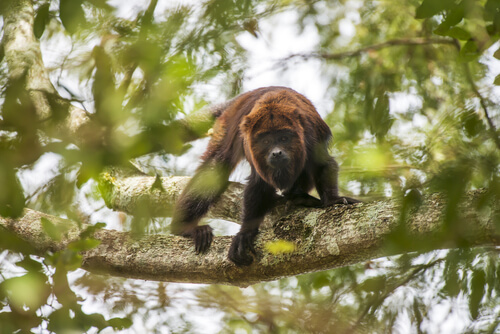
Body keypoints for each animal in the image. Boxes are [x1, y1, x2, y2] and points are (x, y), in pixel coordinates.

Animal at [172, 86, 360, 266]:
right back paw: (185, 229)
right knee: (215, 166)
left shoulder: (310, 132)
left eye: (284, 138)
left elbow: (322, 164)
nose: (276, 153)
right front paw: (246, 233)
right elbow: (258, 183)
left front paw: (333, 200)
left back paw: (298, 197)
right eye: (266, 141)